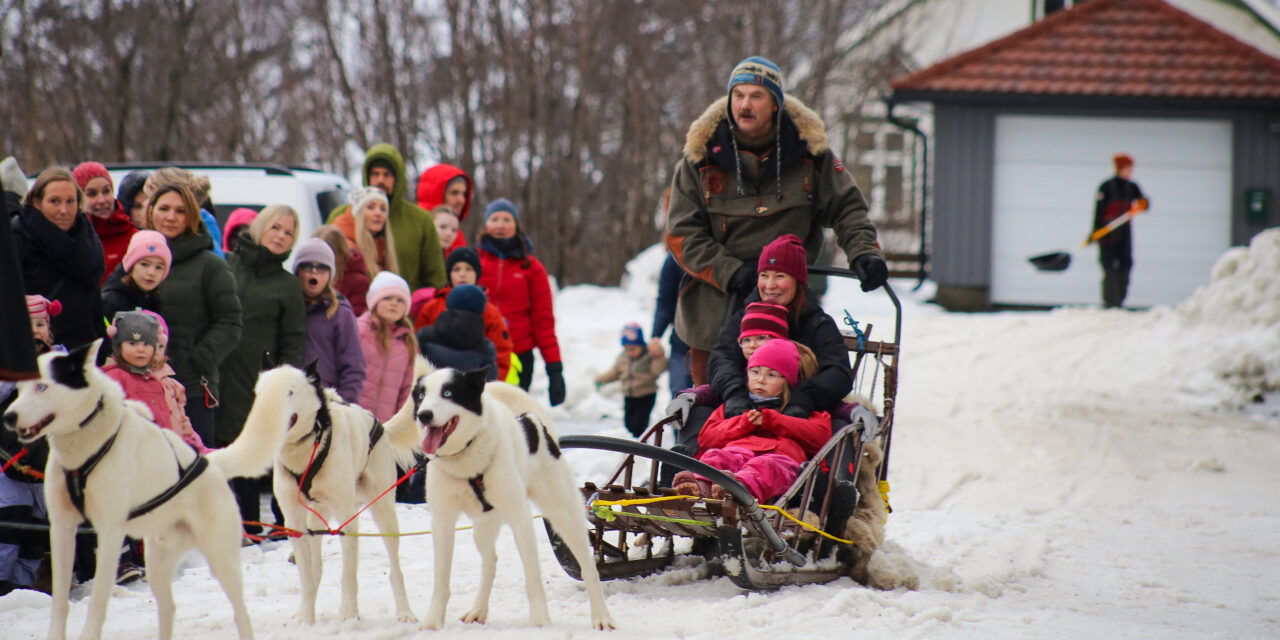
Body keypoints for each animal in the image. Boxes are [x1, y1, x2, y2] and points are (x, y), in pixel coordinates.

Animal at [3, 340, 275, 640]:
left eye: (42, 386)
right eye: (18, 389)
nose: (8, 416)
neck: (82, 449)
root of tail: (210, 463)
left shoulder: (110, 533)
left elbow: (97, 605)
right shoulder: (62, 529)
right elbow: (60, 603)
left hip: (221, 560)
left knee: (241, 612)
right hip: (157, 563)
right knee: (168, 608)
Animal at [252, 363, 422, 622]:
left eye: (289, 391)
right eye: (262, 391)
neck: (307, 451)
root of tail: (380, 425)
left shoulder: (347, 518)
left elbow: (348, 575)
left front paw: (349, 615)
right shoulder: (294, 521)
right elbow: (307, 576)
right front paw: (306, 618)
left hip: (383, 511)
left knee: (395, 570)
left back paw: (404, 611)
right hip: (316, 519)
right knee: (315, 568)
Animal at [396, 366, 616, 629]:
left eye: (448, 392)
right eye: (421, 395)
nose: (424, 415)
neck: (467, 459)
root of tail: (532, 421)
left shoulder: (520, 516)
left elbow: (533, 576)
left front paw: (540, 620)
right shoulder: (442, 520)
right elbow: (441, 581)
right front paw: (432, 622)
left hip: (565, 517)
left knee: (588, 567)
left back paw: (602, 616)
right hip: (482, 528)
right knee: (490, 561)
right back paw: (478, 610)